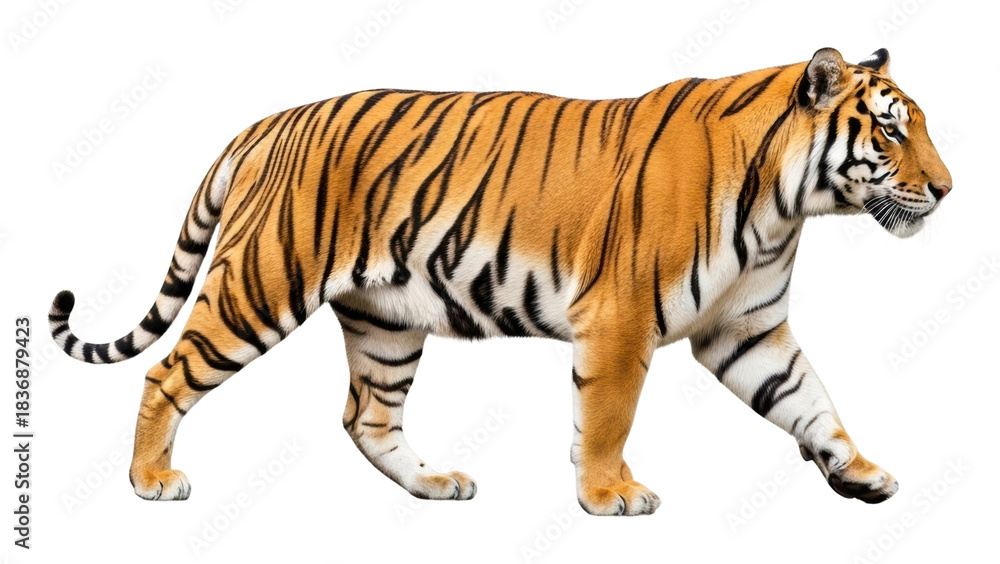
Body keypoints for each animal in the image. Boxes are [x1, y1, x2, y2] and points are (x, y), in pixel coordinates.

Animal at [49, 47, 951, 515]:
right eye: (889, 131)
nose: (947, 189)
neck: (786, 206)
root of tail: (269, 123)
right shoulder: (620, 321)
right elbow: (609, 417)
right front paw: (609, 495)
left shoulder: (748, 329)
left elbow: (813, 402)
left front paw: (860, 472)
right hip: (261, 285)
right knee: (168, 372)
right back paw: (150, 480)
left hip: (386, 321)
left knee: (365, 416)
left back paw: (433, 484)